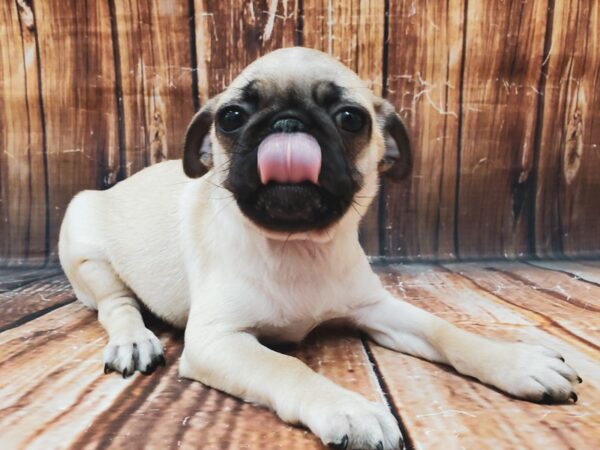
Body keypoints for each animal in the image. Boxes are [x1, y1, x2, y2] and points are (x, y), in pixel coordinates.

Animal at [58, 47, 580, 448]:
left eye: (350, 119)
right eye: (231, 117)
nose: (287, 122)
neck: (297, 248)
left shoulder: (377, 308)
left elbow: (444, 331)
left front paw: (514, 360)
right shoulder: (217, 340)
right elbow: (285, 366)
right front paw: (347, 408)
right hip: (87, 248)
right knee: (117, 305)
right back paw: (133, 340)